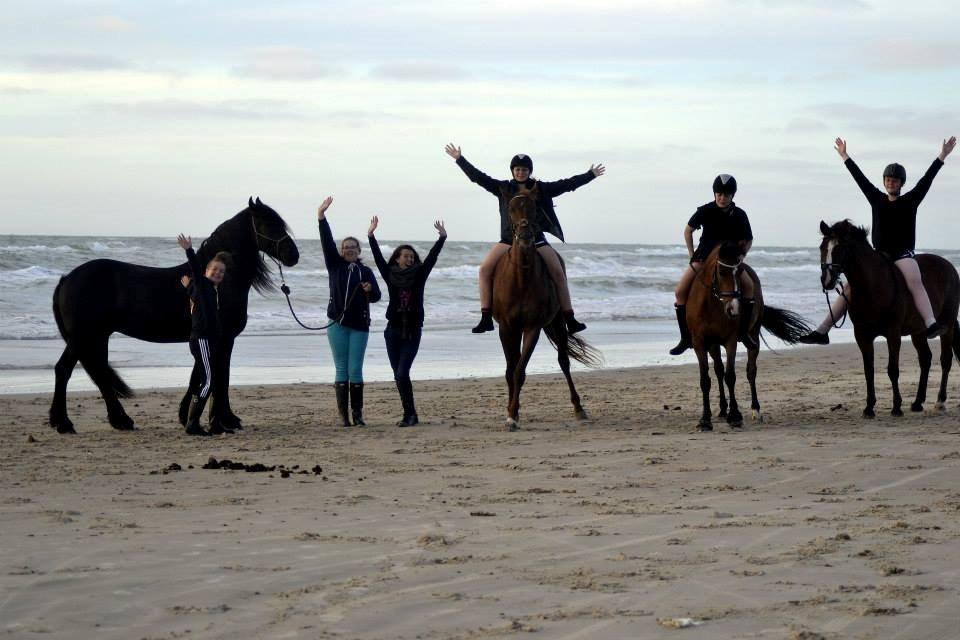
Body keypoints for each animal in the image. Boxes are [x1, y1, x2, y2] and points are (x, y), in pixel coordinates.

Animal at [47, 196, 296, 436]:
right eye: (267, 223)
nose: (293, 255)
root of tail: (67, 278)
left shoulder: (213, 340)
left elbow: (201, 377)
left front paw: (191, 416)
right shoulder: (223, 339)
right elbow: (218, 378)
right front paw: (223, 420)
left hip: (97, 336)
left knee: (99, 372)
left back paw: (120, 420)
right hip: (83, 336)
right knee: (65, 370)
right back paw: (65, 423)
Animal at [488, 188, 600, 432]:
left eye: (534, 207)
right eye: (511, 208)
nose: (525, 233)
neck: (521, 278)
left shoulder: (532, 328)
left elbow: (520, 371)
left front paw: (513, 414)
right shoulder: (507, 328)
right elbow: (511, 370)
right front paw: (511, 412)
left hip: (557, 322)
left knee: (564, 362)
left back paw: (579, 408)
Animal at [688, 242, 812, 432]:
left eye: (739, 273)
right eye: (721, 272)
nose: (734, 309)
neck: (712, 305)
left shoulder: (730, 341)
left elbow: (731, 376)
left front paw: (735, 416)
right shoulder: (700, 343)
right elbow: (705, 380)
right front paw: (705, 420)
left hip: (753, 337)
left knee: (751, 371)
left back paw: (755, 410)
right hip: (713, 346)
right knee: (718, 370)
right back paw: (722, 410)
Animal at [816, 221, 960, 420]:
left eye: (841, 248)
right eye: (822, 247)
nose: (827, 280)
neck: (873, 287)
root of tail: (948, 265)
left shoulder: (893, 334)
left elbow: (893, 369)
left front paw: (896, 407)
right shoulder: (862, 335)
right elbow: (868, 370)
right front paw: (869, 408)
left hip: (948, 325)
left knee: (945, 360)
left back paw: (940, 402)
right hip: (918, 332)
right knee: (925, 359)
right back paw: (917, 402)